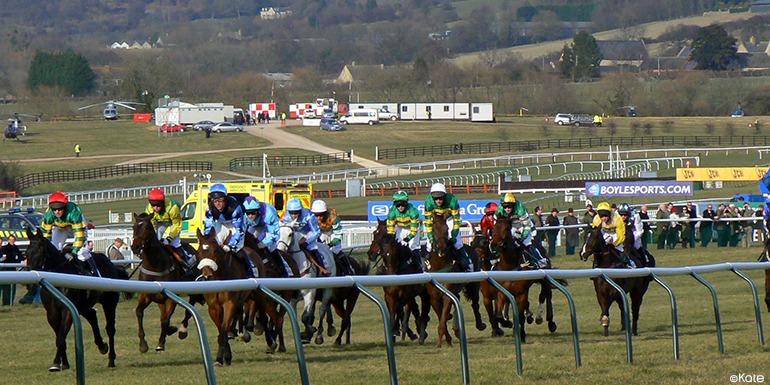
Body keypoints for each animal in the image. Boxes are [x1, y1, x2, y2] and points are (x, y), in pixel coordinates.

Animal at [24, 228, 128, 368]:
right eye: (26, 253)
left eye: (40, 252)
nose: (29, 284)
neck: (59, 279)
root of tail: (110, 263)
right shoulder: (52, 312)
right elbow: (59, 335)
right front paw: (64, 363)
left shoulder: (68, 310)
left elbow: (61, 336)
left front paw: (56, 363)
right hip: (84, 305)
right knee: (92, 316)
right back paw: (102, 346)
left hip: (109, 302)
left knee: (110, 328)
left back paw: (111, 359)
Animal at [424, 212, 484, 346]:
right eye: (433, 229)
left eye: (447, 229)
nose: (441, 248)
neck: (439, 265)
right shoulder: (434, 297)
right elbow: (441, 315)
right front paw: (447, 338)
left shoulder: (447, 293)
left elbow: (444, 315)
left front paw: (441, 341)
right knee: (458, 298)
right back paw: (456, 329)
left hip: (474, 284)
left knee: (475, 302)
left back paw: (479, 324)